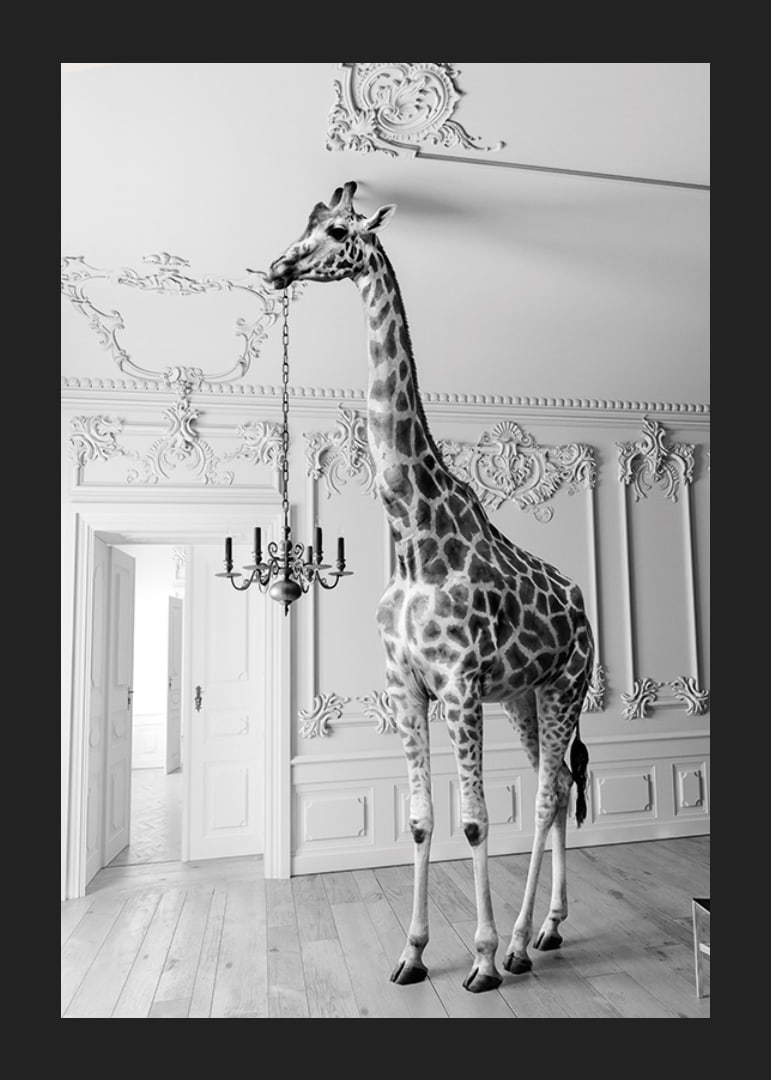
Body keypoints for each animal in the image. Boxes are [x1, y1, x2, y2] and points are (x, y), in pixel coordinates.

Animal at [266, 180, 595, 993]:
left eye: (340, 231)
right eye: (305, 222)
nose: (279, 267)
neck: (413, 536)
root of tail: (584, 607)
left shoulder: (458, 683)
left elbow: (475, 819)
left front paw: (479, 960)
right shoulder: (406, 686)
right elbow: (420, 820)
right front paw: (412, 954)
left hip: (567, 685)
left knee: (547, 796)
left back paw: (517, 944)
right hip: (525, 697)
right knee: (553, 792)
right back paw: (547, 930)